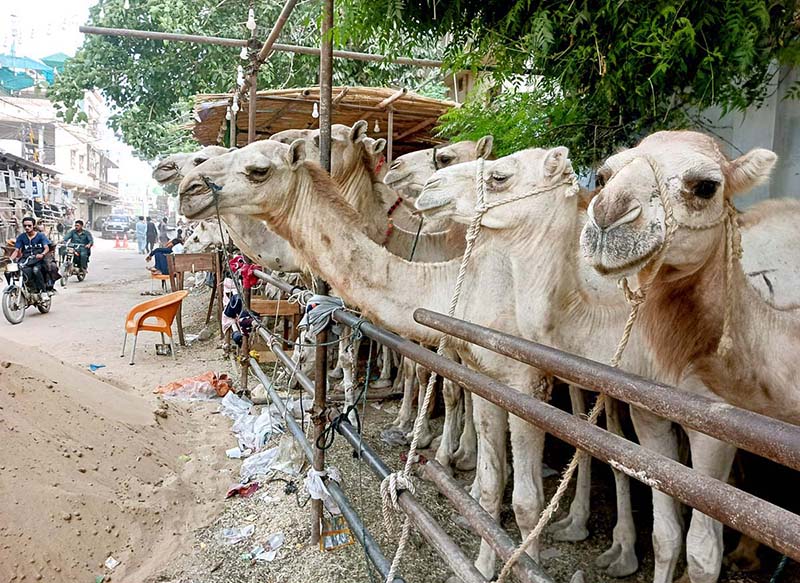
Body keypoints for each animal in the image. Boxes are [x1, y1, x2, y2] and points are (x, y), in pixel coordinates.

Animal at [580, 130, 799, 583]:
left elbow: (703, 551)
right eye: (605, 175)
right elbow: (665, 534)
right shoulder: (649, 413)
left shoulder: (717, 430)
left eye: (705, 186)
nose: (608, 215)